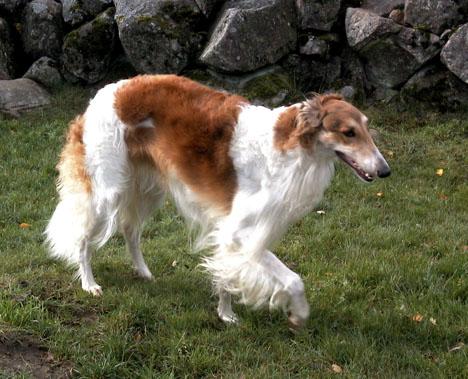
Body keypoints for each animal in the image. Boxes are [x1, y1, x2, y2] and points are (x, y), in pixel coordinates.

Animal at [45, 75, 390, 330]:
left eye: (366, 127)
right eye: (348, 133)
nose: (385, 170)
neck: (285, 147)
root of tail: (105, 93)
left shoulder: (241, 232)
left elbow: (227, 273)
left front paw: (225, 314)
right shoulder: (238, 232)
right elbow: (293, 279)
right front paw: (296, 314)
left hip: (147, 189)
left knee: (130, 230)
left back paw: (143, 271)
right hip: (109, 191)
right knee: (83, 240)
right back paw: (89, 283)